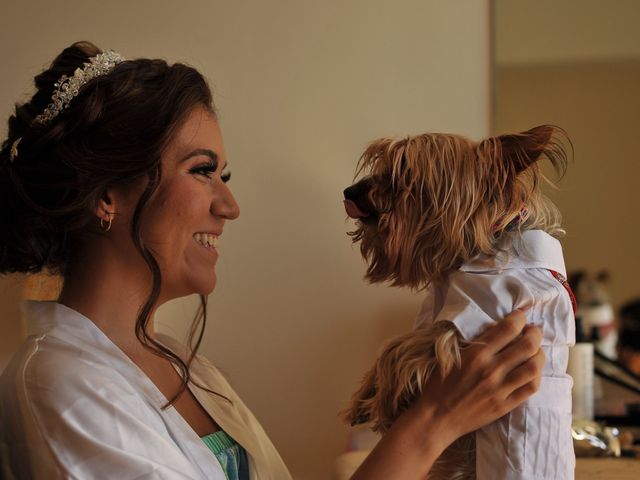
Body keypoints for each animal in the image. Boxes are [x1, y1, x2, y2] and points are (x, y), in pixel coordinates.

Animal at [344, 126, 576, 480]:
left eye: (404, 170)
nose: (350, 191)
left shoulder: (474, 320)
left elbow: (398, 348)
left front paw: (382, 403)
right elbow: (394, 342)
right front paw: (363, 399)